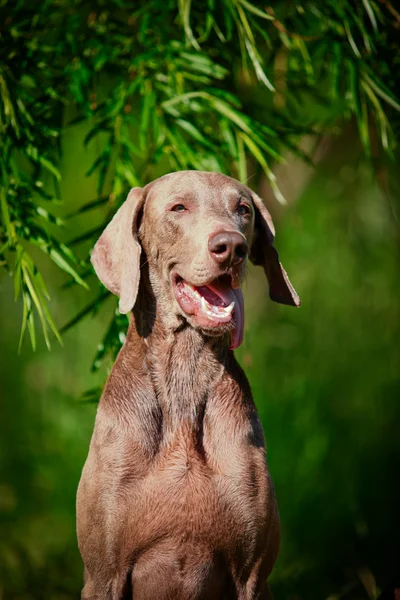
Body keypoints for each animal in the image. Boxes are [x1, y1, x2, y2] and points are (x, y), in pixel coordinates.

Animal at [76, 170, 300, 600]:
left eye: (243, 210)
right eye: (178, 207)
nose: (232, 247)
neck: (184, 374)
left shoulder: (253, 574)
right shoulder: (103, 574)